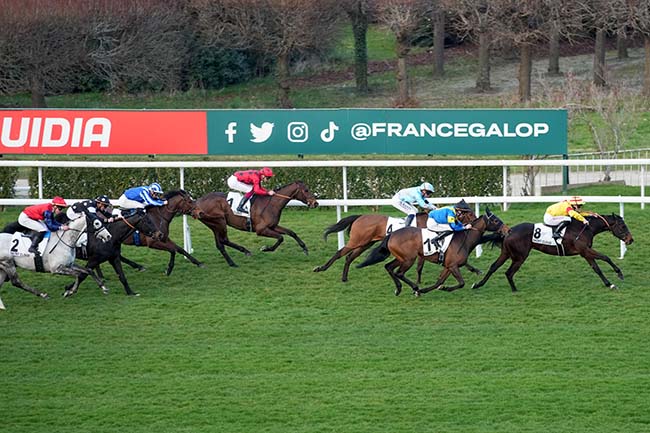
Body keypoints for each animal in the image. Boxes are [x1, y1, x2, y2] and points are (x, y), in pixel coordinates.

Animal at [312, 211, 484, 282]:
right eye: (469, 213)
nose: (477, 220)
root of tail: (360, 216)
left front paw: (476, 270)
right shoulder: (425, 247)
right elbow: (420, 266)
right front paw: (418, 282)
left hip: (365, 243)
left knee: (349, 257)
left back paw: (344, 277)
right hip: (357, 241)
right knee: (340, 252)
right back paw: (321, 268)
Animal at [356, 208, 508, 296]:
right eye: (495, 220)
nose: (506, 230)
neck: (464, 239)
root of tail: (391, 234)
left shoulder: (448, 266)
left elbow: (439, 281)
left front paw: (430, 289)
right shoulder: (453, 266)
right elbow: (461, 283)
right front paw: (442, 288)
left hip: (401, 258)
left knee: (388, 267)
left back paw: (399, 289)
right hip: (408, 259)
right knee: (399, 272)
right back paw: (414, 288)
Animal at [470, 212, 632, 290]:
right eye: (623, 226)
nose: (631, 240)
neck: (585, 227)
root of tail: (508, 231)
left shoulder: (585, 252)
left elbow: (596, 268)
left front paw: (609, 283)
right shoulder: (585, 250)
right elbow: (605, 258)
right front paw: (618, 275)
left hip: (506, 253)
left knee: (493, 267)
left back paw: (478, 285)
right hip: (520, 256)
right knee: (509, 272)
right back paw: (515, 290)